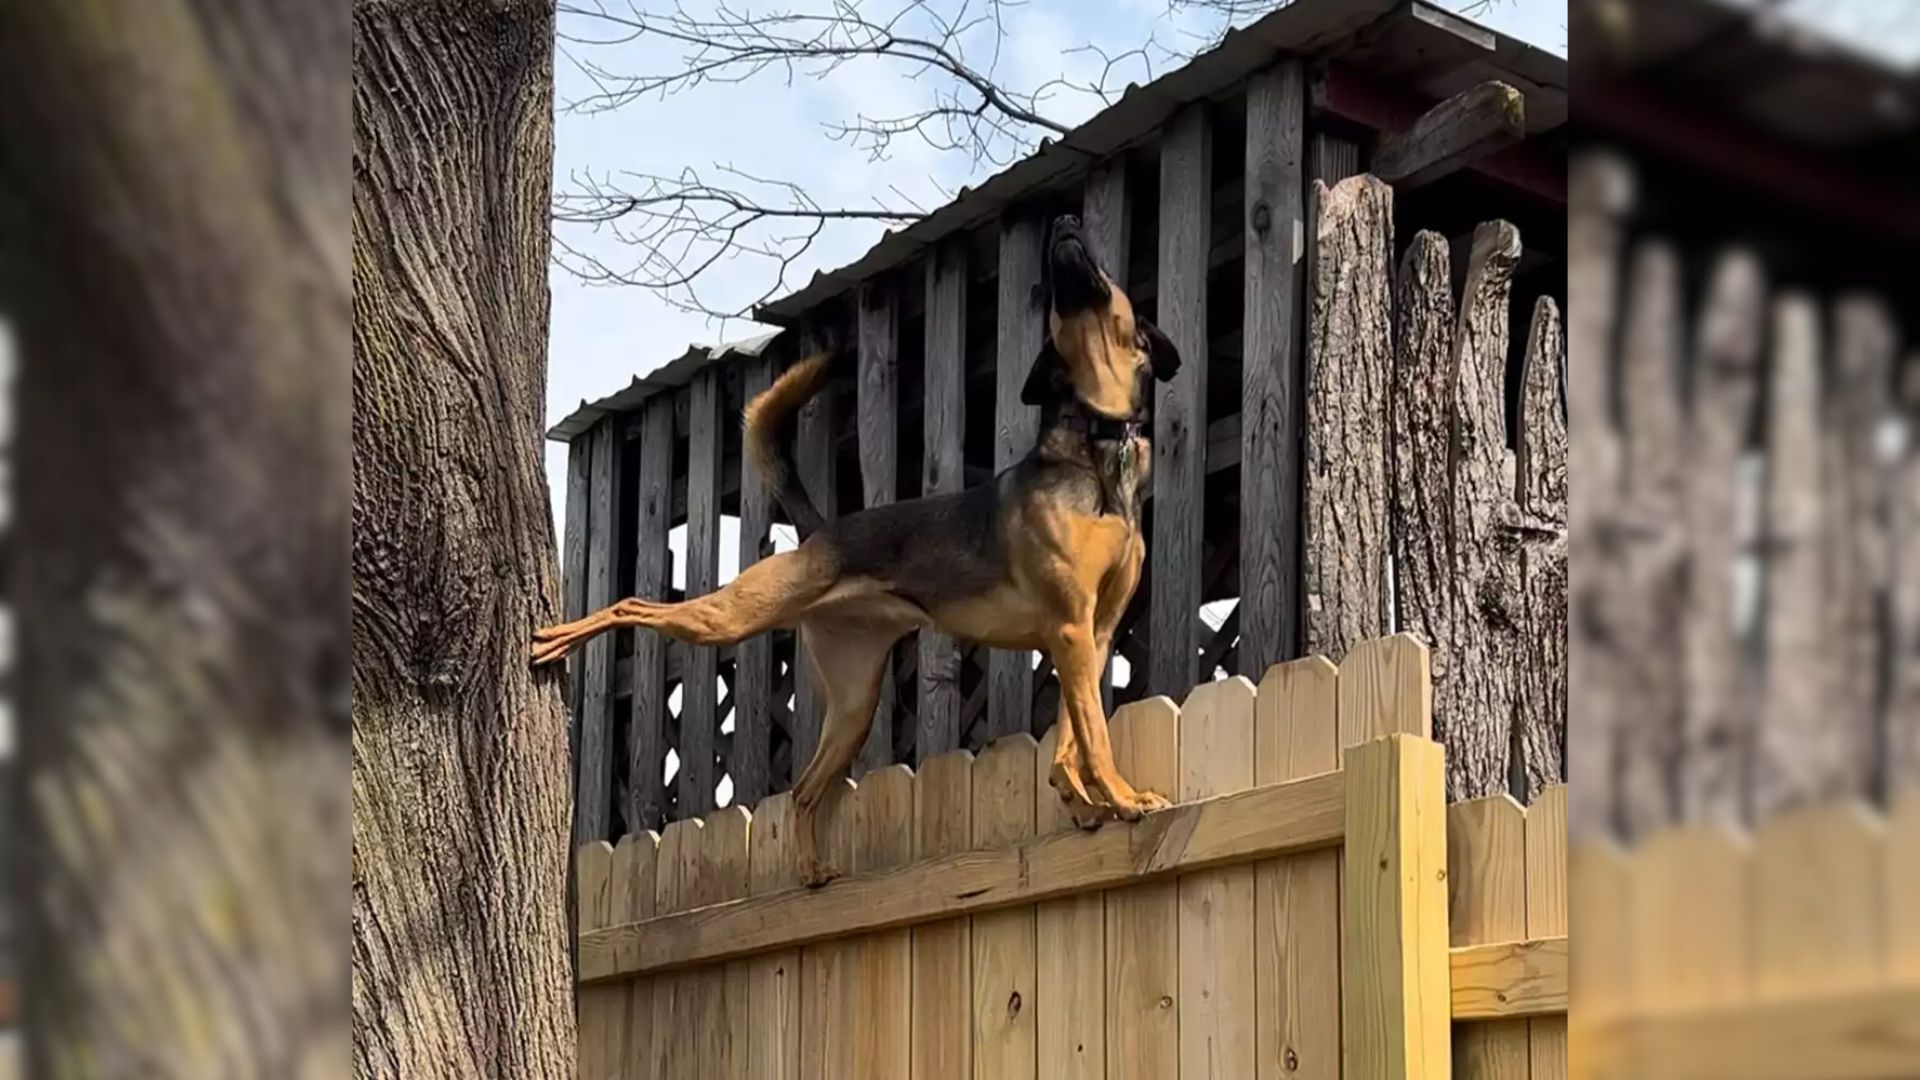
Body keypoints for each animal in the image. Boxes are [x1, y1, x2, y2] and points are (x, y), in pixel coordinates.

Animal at [533, 212, 1175, 883]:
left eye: (1103, 271)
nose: (1066, 221)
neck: (1098, 447)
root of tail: (819, 530)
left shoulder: (1092, 634)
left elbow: (1073, 737)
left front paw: (1084, 800)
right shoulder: (1072, 629)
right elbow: (1095, 736)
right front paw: (1124, 799)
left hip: (853, 702)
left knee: (804, 789)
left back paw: (813, 871)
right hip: (737, 615)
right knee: (633, 605)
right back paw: (555, 639)